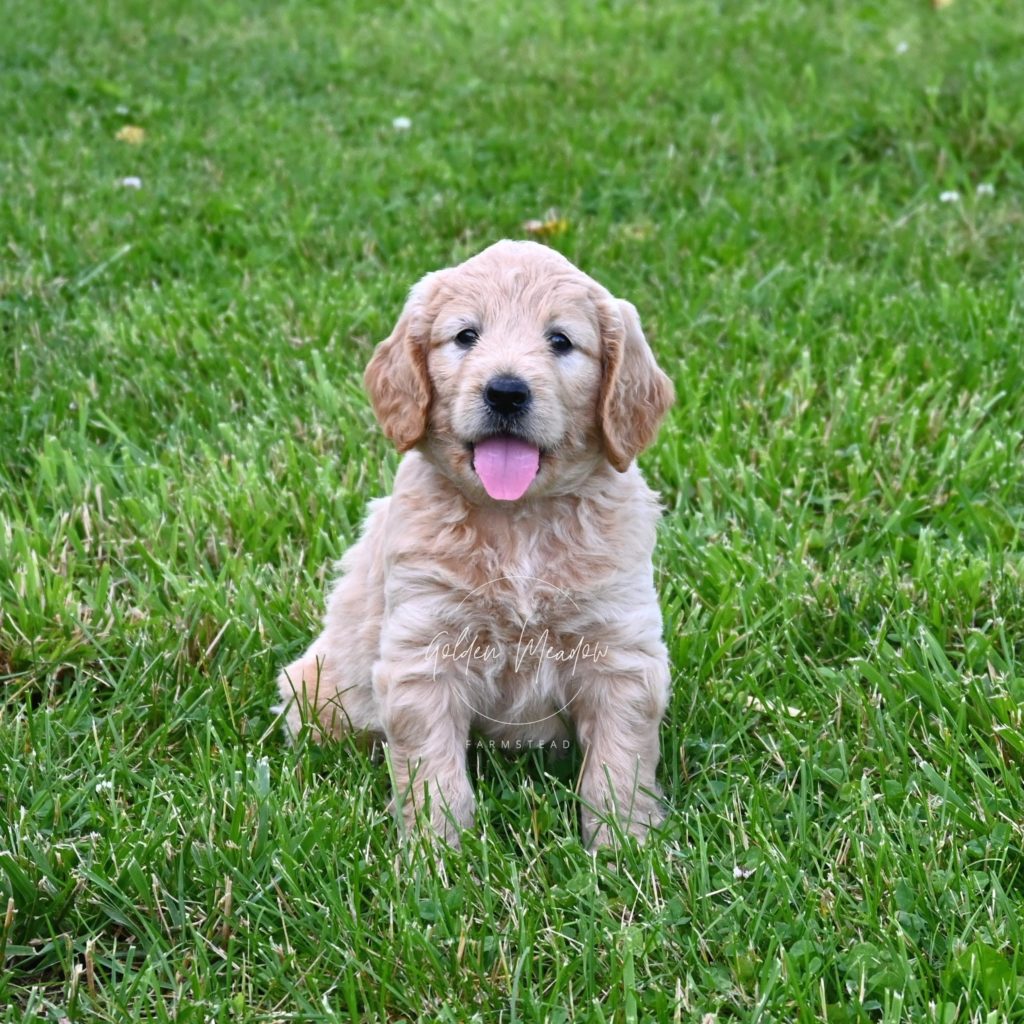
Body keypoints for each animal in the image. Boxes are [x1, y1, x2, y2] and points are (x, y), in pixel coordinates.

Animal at [276, 241, 675, 847]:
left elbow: (618, 765)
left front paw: (624, 848)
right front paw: (434, 854)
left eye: (560, 340)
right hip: (319, 688)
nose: (506, 391)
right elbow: (433, 772)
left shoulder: (620, 650)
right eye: (466, 336)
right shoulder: (424, 653)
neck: (517, 521)